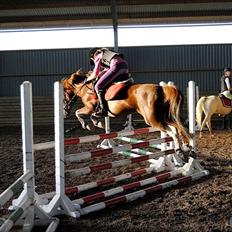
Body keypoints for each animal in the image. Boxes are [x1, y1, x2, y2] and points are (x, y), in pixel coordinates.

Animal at [61, 70, 194, 159]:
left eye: (64, 92)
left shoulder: (90, 108)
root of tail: (161, 88)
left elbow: (78, 113)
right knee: (178, 127)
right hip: (165, 117)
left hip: (152, 119)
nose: (64, 111)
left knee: (173, 131)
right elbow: (92, 115)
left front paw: (88, 125)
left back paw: (179, 150)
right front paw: (97, 123)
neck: (86, 88)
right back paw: (186, 147)